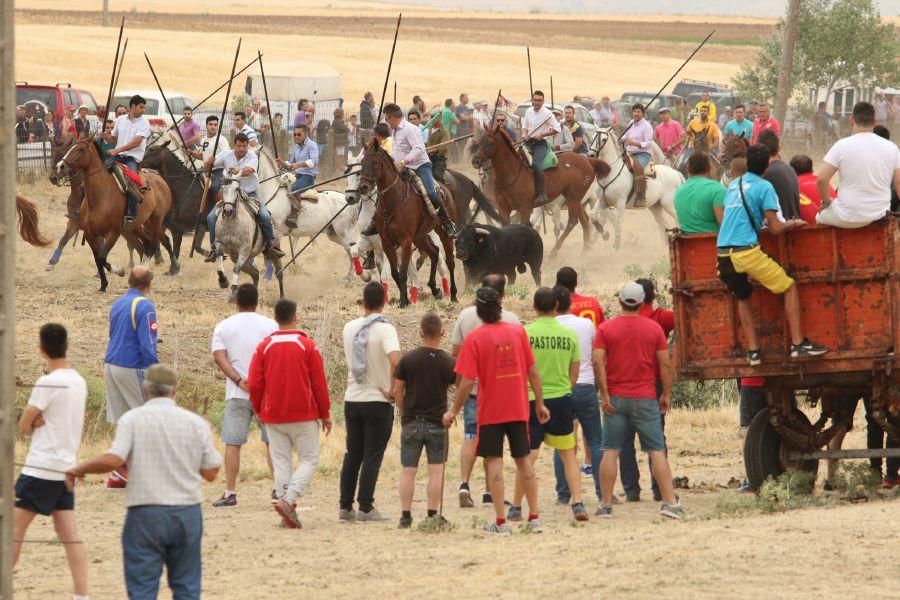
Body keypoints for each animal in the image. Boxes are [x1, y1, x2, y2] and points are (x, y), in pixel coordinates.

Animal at [58, 138, 176, 292]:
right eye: (70, 148)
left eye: (81, 149)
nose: (60, 166)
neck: (100, 197)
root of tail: (160, 179)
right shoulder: (90, 235)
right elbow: (98, 259)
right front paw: (103, 285)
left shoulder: (113, 233)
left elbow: (102, 257)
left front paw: (120, 271)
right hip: (136, 226)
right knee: (144, 245)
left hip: (155, 220)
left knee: (151, 245)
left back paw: (146, 272)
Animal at [356, 141, 458, 308]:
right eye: (362, 162)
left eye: (375, 162)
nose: (362, 187)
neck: (394, 201)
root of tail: (443, 190)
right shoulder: (387, 243)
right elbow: (395, 273)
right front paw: (406, 299)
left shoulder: (405, 242)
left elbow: (403, 273)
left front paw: (403, 301)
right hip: (420, 237)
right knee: (434, 253)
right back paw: (434, 289)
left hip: (442, 234)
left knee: (450, 262)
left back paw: (453, 295)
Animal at [468, 126, 608, 253]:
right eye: (479, 141)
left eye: (490, 143)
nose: (475, 161)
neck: (512, 173)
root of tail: (587, 160)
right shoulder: (503, 209)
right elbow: (506, 226)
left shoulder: (525, 208)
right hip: (574, 199)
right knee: (584, 220)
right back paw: (585, 250)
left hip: (574, 198)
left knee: (572, 222)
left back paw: (554, 252)